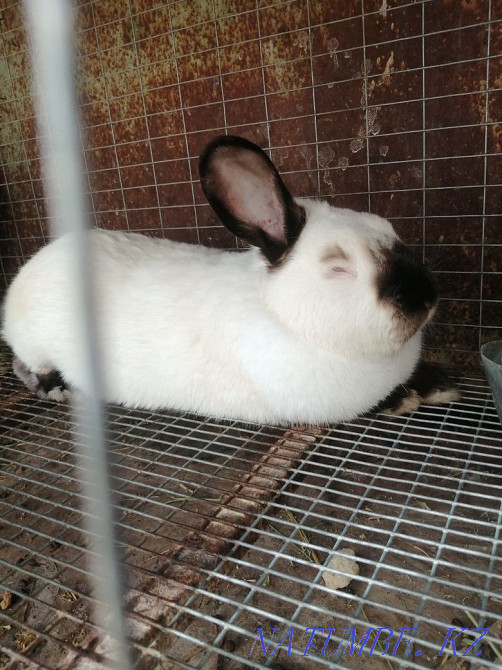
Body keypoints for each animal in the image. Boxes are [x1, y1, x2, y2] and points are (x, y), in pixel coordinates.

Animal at [1, 135, 459, 425]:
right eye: (338, 267)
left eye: (390, 229)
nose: (427, 297)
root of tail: (24, 276)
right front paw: (417, 395)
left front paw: (437, 382)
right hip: (38, 344)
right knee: (33, 367)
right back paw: (61, 389)